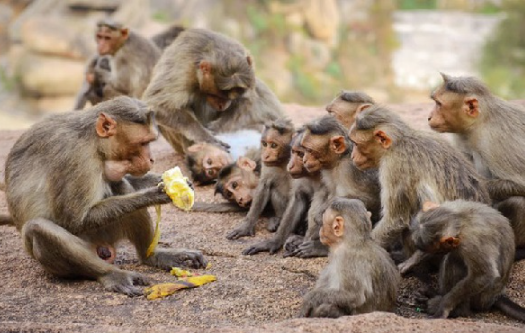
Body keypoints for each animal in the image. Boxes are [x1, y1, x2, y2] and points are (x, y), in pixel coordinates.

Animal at [6, 96, 208, 296]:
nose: (152, 159)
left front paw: (170, 181)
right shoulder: (76, 158)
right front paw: (153, 195)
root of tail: (103, 250)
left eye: (150, 141)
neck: (93, 142)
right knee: (37, 228)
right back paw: (111, 273)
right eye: (143, 143)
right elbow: (75, 220)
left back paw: (152, 256)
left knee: (119, 185)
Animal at [142, 27, 282, 155]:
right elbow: (157, 104)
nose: (223, 105)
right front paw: (205, 137)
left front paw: (217, 128)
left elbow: (246, 99)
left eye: (235, 92)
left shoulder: (249, 72)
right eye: (220, 93)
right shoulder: (183, 69)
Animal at [284, 115, 378, 258]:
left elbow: (366, 199)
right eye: (305, 150)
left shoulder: (349, 169)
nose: (305, 160)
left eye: (309, 150)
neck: (339, 159)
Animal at [428, 73, 525, 260]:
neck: (479, 123)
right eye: (435, 101)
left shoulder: (497, 141)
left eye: (439, 104)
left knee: (517, 203)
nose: (429, 117)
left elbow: (520, 184)